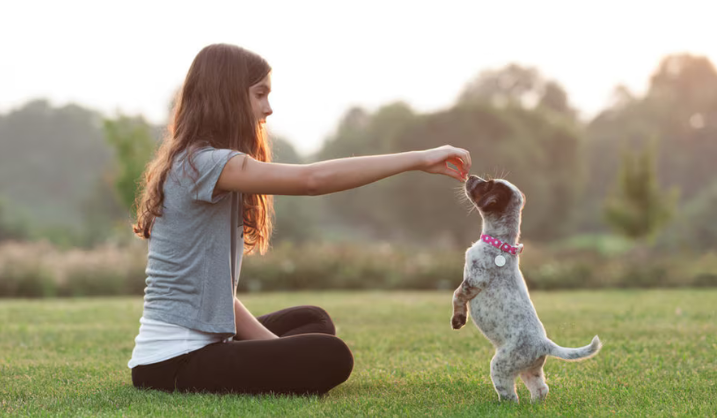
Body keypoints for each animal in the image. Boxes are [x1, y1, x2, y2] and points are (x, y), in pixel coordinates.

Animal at [450, 175, 600, 404]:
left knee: (510, 394)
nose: (471, 177)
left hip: (501, 365)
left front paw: (458, 319)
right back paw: (534, 405)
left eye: (487, 184)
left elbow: (457, 296)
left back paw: (502, 404)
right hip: (531, 371)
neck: (500, 243)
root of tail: (544, 343)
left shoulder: (474, 280)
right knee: (541, 389)